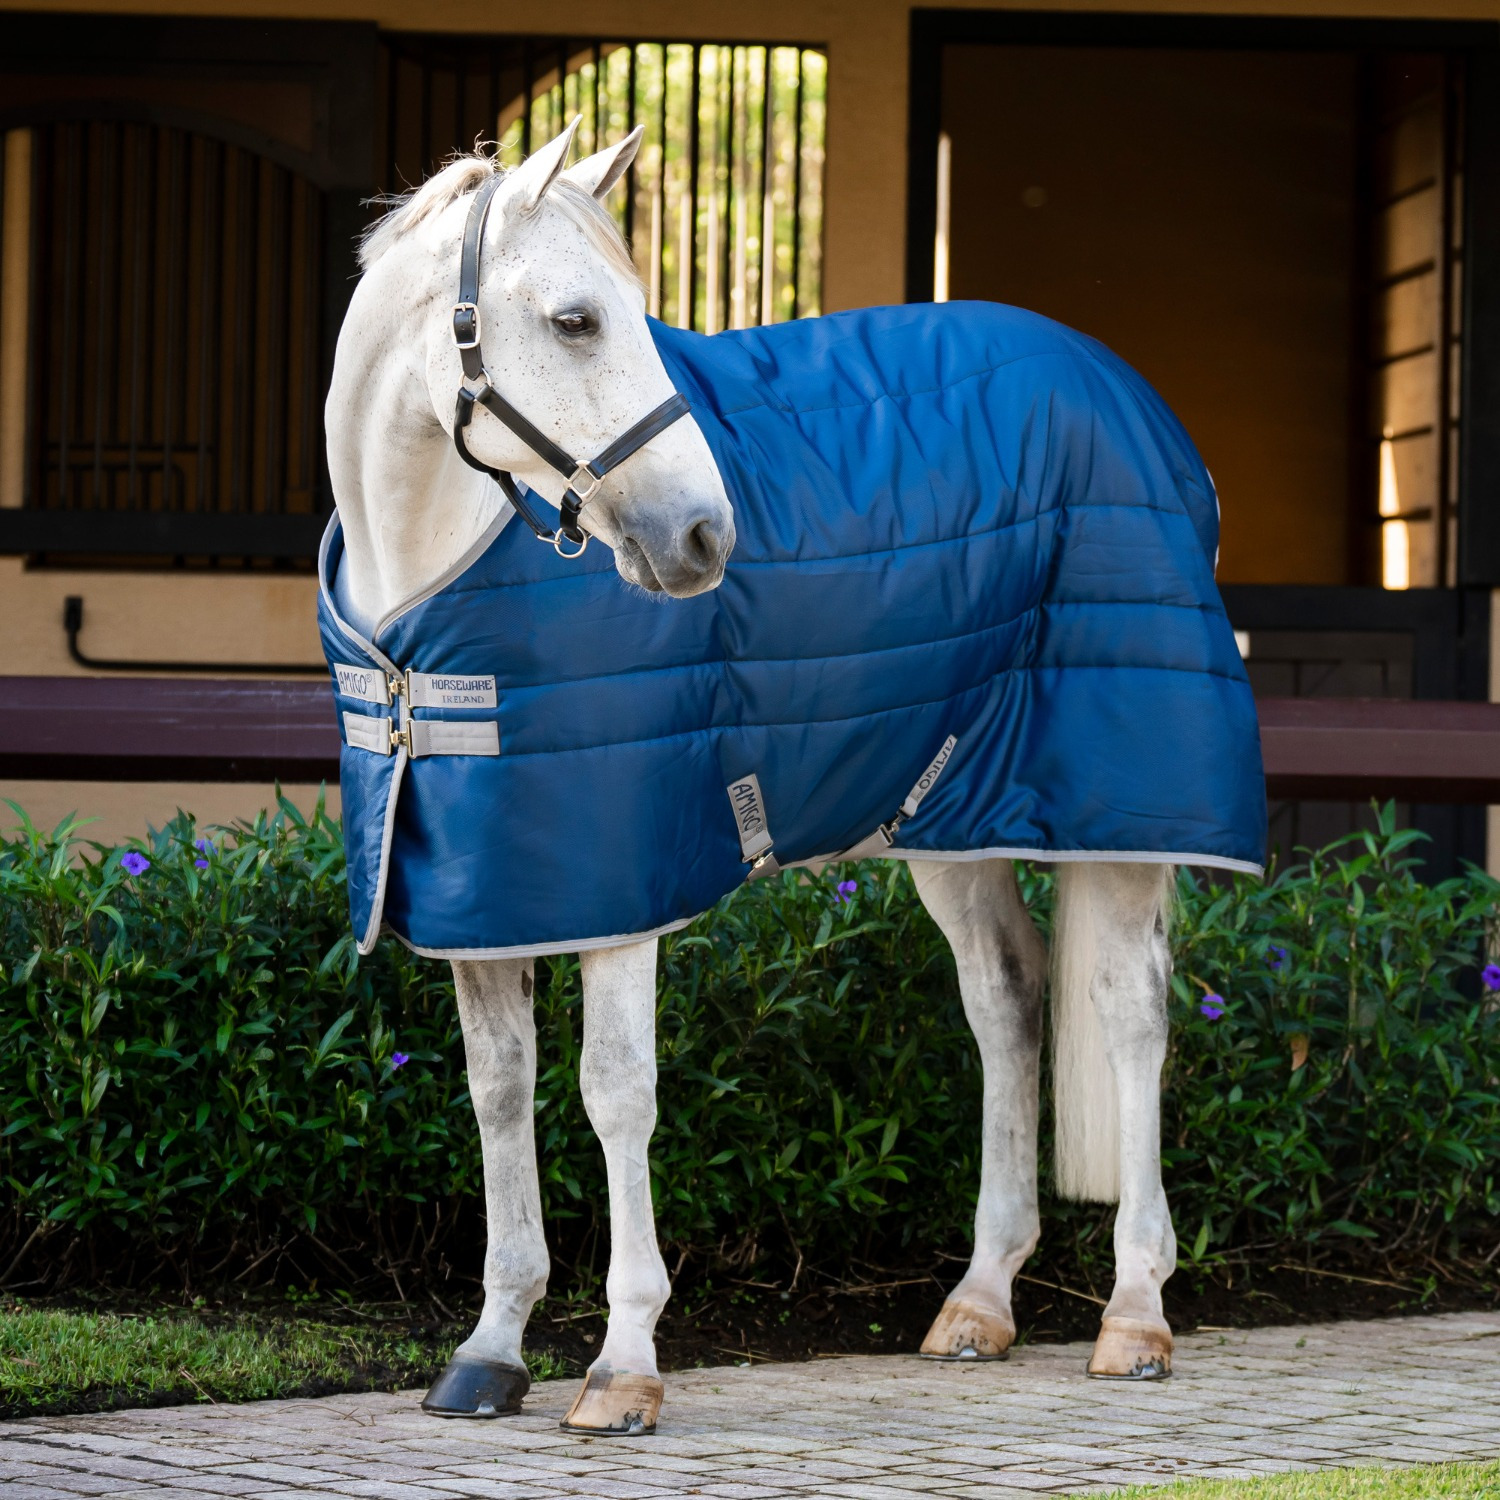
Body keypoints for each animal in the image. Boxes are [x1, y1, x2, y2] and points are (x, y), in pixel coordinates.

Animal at [322, 119, 1264, 1436]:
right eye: (574, 320)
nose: (702, 540)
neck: (423, 607)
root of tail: (1132, 400)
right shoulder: (486, 890)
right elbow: (499, 1093)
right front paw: (490, 1350)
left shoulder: (623, 885)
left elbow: (615, 1092)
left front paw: (623, 1367)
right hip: (946, 818)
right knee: (1007, 999)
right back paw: (979, 1302)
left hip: (1118, 811)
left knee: (1131, 1013)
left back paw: (1135, 1313)